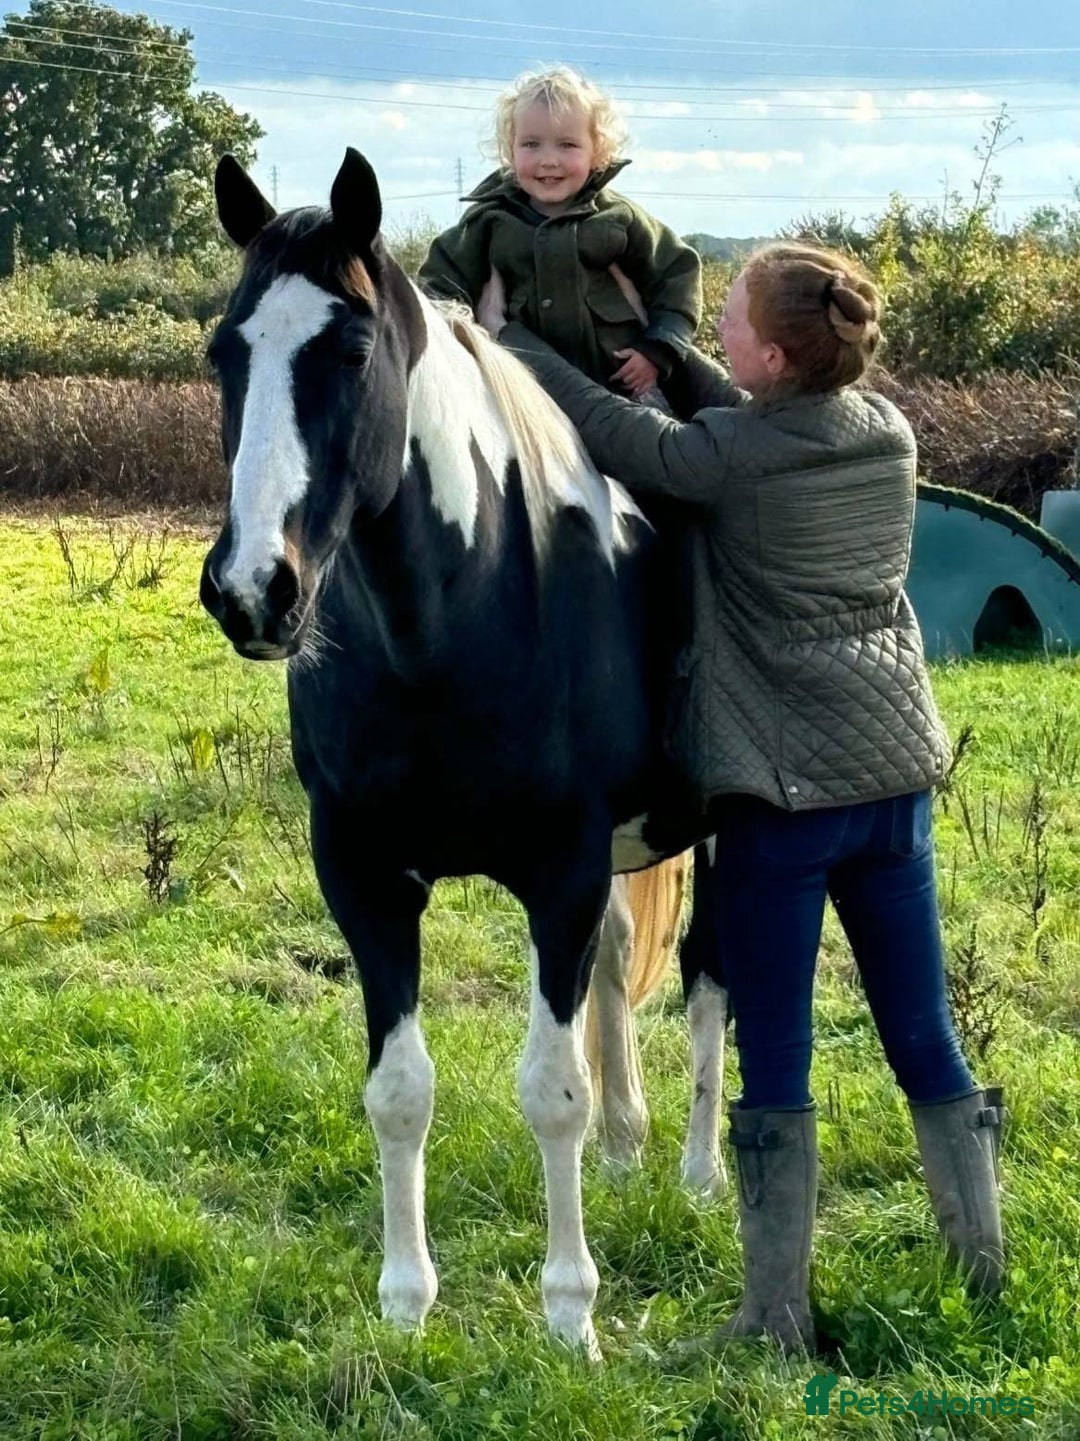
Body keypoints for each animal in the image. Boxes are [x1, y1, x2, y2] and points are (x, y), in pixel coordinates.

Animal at [199, 147, 728, 1356]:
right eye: (223, 353)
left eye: (350, 351)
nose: (253, 589)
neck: (449, 617)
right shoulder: (362, 875)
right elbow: (400, 1090)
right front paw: (405, 1306)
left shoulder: (560, 869)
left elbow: (550, 1091)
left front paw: (570, 1315)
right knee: (620, 973)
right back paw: (630, 1150)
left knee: (711, 983)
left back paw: (697, 1172)